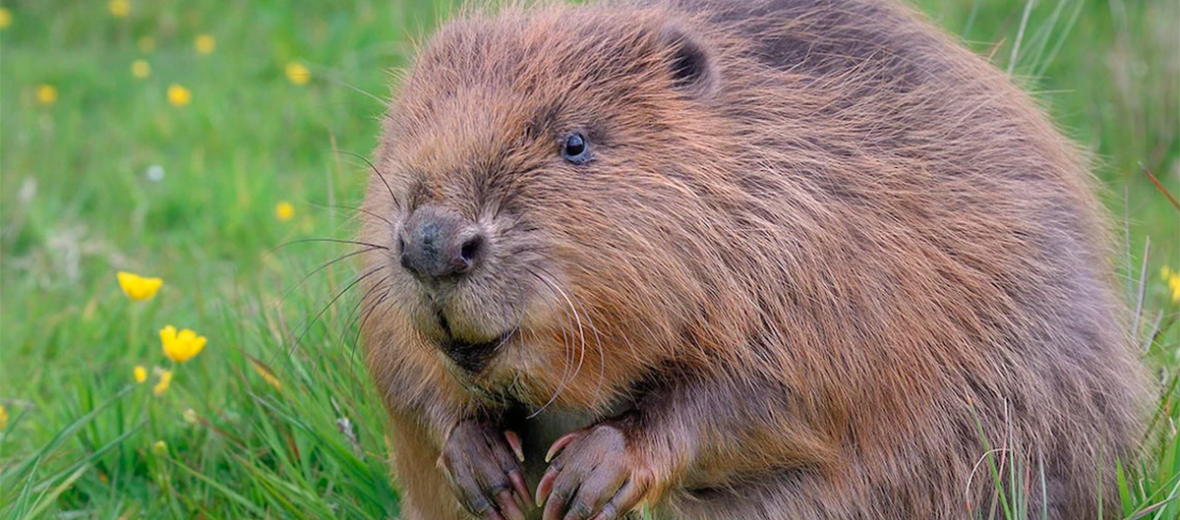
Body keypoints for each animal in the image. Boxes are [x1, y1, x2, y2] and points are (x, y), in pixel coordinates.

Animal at [356, 1, 1142, 518]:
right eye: (411, 124)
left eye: (574, 142)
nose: (433, 242)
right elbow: (401, 365)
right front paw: (483, 466)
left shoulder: (826, 249)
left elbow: (775, 396)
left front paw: (590, 473)